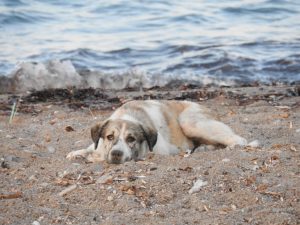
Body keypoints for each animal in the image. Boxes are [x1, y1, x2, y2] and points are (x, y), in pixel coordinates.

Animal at [67, 100, 248, 163]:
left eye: (131, 139)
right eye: (110, 136)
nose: (117, 154)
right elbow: (92, 147)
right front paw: (78, 153)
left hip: (189, 122)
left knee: (239, 140)